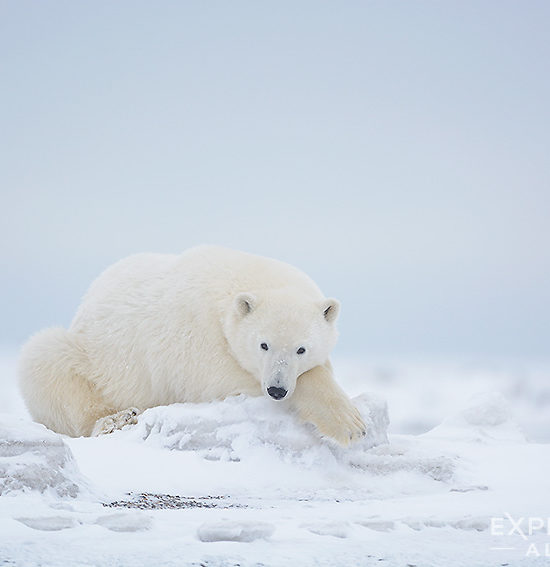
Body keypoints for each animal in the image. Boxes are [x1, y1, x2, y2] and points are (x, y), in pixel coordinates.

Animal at [19, 246, 368, 446]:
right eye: (263, 345)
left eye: (301, 349)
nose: (277, 390)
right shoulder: (197, 340)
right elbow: (223, 379)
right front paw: (350, 425)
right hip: (90, 354)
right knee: (48, 362)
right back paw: (116, 419)